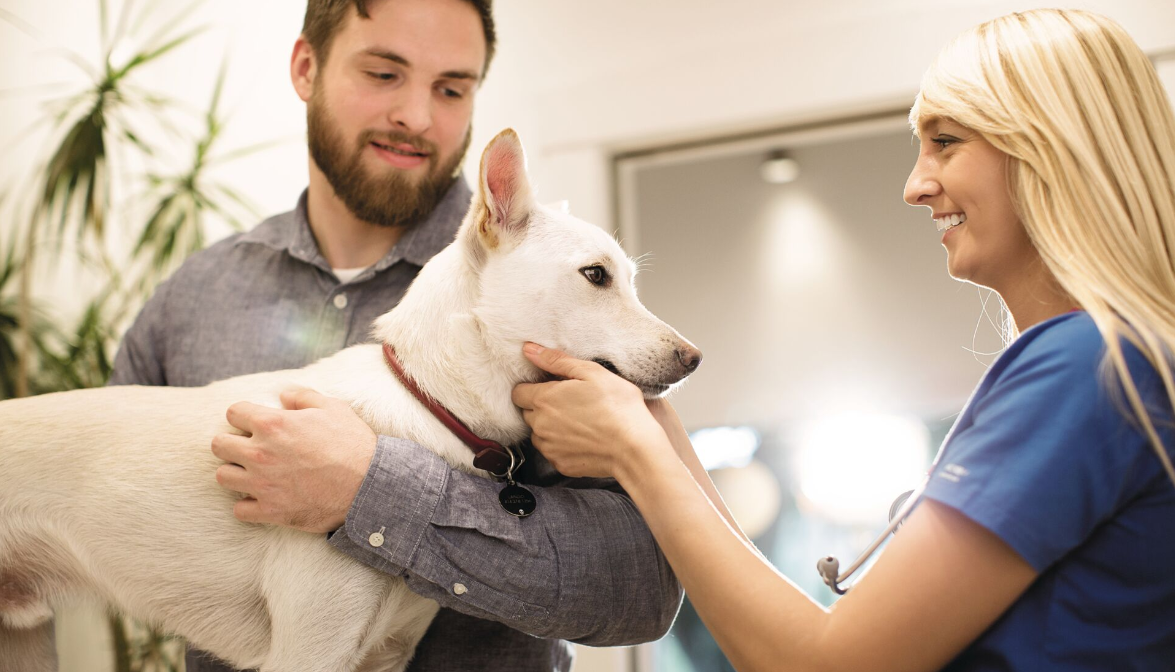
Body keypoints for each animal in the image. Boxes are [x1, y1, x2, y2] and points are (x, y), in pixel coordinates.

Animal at [0, 129, 695, 672]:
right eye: (596, 276)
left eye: (627, 278)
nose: (694, 358)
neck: (428, 402)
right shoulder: (313, 652)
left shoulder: (384, 655)